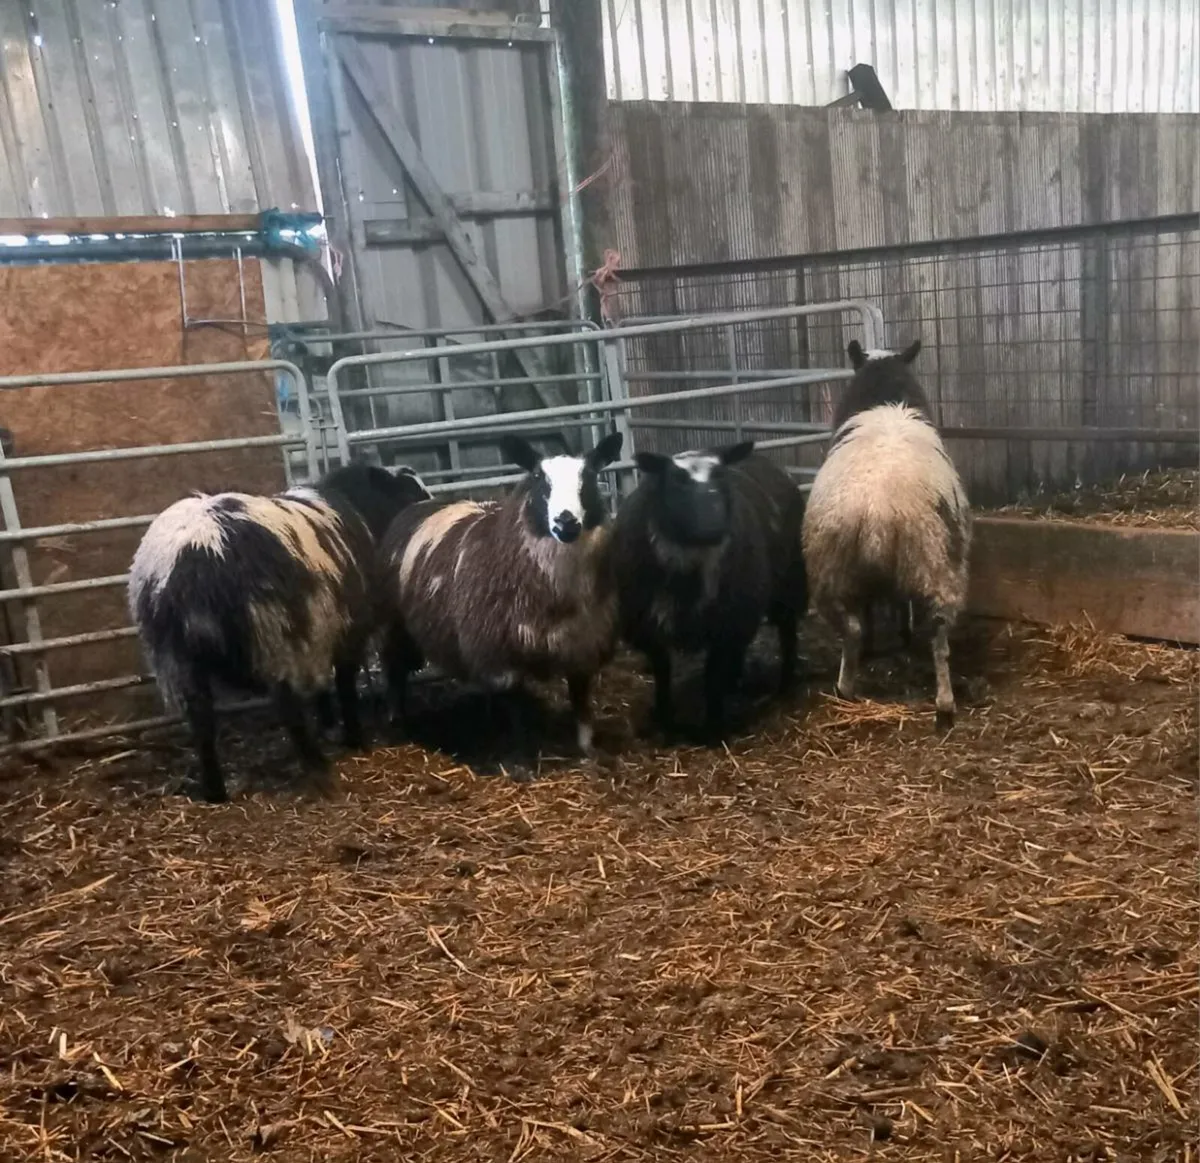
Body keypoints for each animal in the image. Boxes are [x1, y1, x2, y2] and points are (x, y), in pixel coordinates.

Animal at [129, 463, 430, 802]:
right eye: (410, 492)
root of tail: (198, 549)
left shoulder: (319, 631)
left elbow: (322, 683)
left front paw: (329, 723)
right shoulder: (347, 630)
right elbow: (344, 684)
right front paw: (353, 738)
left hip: (176, 659)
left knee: (201, 721)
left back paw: (215, 791)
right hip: (274, 638)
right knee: (289, 710)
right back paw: (319, 772)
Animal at [378, 430, 624, 765]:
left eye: (588, 477)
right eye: (538, 478)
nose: (566, 522)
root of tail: (419, 505)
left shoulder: (583, 645)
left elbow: (582, 703)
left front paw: (588, 751)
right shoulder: (499, 654)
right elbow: (516, 712)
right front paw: (522, 762)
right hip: (394, 625)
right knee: (394, 672)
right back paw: (396, 721)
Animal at [612, 441, 808, 739]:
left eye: (720, 475)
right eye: (677, 480)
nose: (713, 525)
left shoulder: (728, 622)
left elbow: (712, 676)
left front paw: (713, 729)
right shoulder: (648, 626)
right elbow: (662, 670)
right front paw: (664, 717)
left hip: (785, 585)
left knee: (786, 632)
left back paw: (784, 685)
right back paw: (735, 681)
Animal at [803, 339, 971, 728]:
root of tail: (877, 507)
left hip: (834, 572)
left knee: (852, 629)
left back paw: (846, 687)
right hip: (934, 563)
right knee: (937, 639)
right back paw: (944, 703)